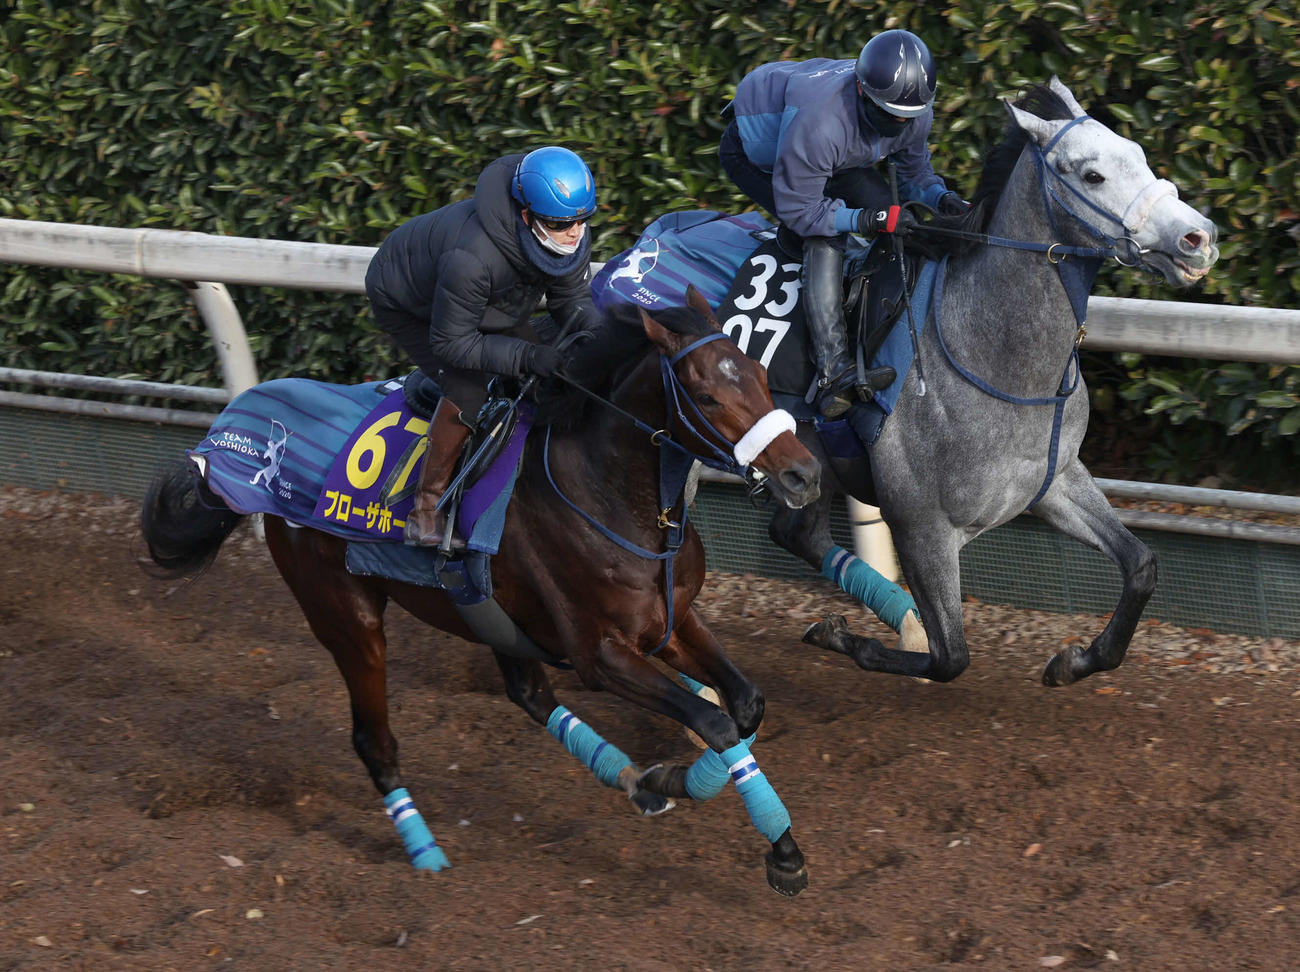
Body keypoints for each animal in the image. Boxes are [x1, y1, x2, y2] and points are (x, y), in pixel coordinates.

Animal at [140, 288, 821, 896]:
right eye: (706, 395)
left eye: (761, 375)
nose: (804, 474)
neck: (605, 489)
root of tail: (244, 437)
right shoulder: (599, 653)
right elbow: (714, 719)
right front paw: (777, 850)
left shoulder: (668, 622)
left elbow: (745, 704)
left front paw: (678, 781)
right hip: (346, 614)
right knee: (375, 741)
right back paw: (427, 855)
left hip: (486, 610)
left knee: (529, 694)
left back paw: (637, 783)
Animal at [594, 77, 1220, 688]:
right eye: (1091, 174)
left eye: (1137, 153)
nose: (1199, 237)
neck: (990, 353)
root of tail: (638, 250)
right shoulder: (922, 526)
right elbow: (950, 658)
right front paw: (851, 640)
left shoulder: (1055, 481)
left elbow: (1141, 567)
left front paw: (1074, 662)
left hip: (808, 459)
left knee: (796, 533)